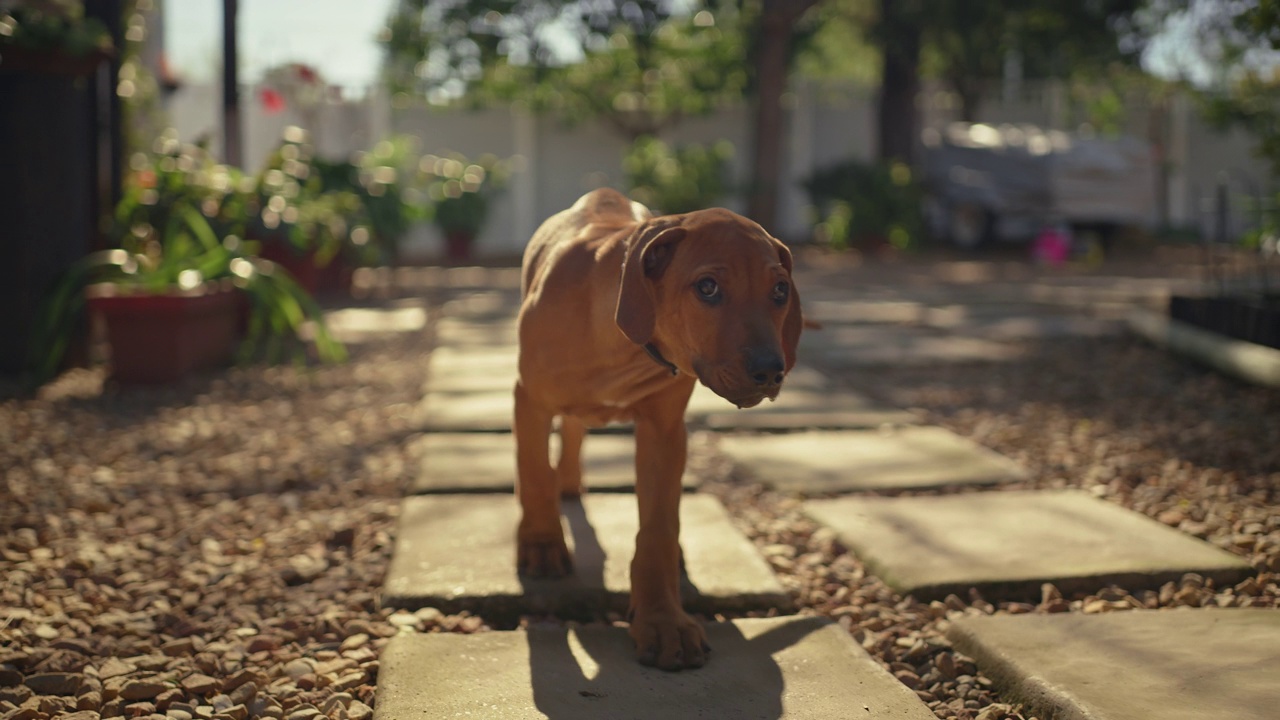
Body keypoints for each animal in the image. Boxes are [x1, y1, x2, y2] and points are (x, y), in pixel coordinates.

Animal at [512, 184, 798, 666]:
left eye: (780, 290)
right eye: (707, 287)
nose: (770, 371)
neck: (623, 348)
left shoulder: (665, 431)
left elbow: (658, 530)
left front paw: (663, 620)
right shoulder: (529, 400)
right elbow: (532, 473)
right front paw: (542, 544)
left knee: (575, 431)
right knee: (564, 436)